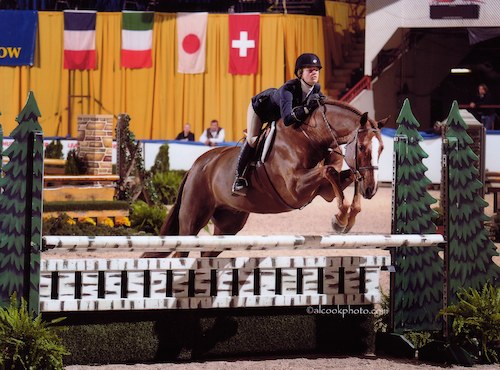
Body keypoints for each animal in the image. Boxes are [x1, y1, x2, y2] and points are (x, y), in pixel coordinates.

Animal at [160, 99, 386, 236]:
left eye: (382, 148)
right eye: (362, 147)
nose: (371, 190)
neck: (311, 137)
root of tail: (196, 166)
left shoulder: (326, 191)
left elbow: (348, 177)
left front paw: (348, 219)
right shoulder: (295, 189)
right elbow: (328, 171)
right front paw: (339, 220)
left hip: (228, 224)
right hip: (192, 220)